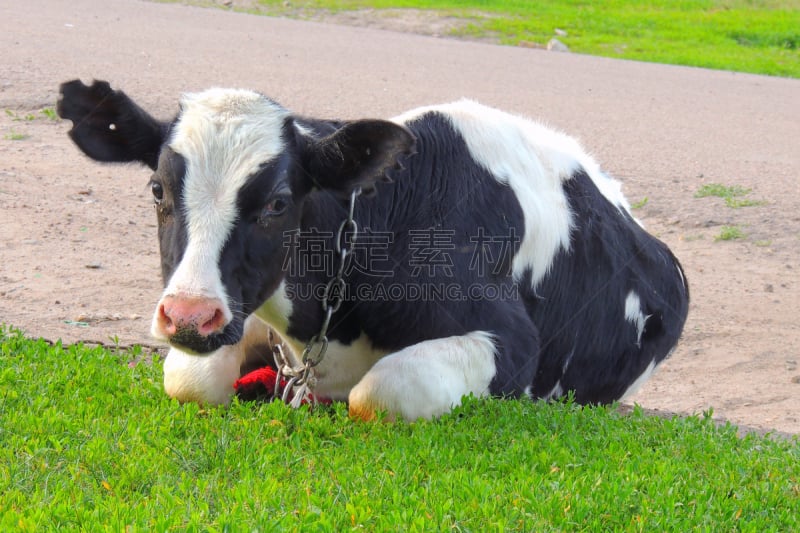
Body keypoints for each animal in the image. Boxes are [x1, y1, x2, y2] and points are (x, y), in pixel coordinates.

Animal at [57, 79, 688, 420]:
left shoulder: (513, 342)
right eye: (157, 189)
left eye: (279, 203)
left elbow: (381, 391)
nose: (189, 315)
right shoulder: (246, 314)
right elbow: (191, 382)